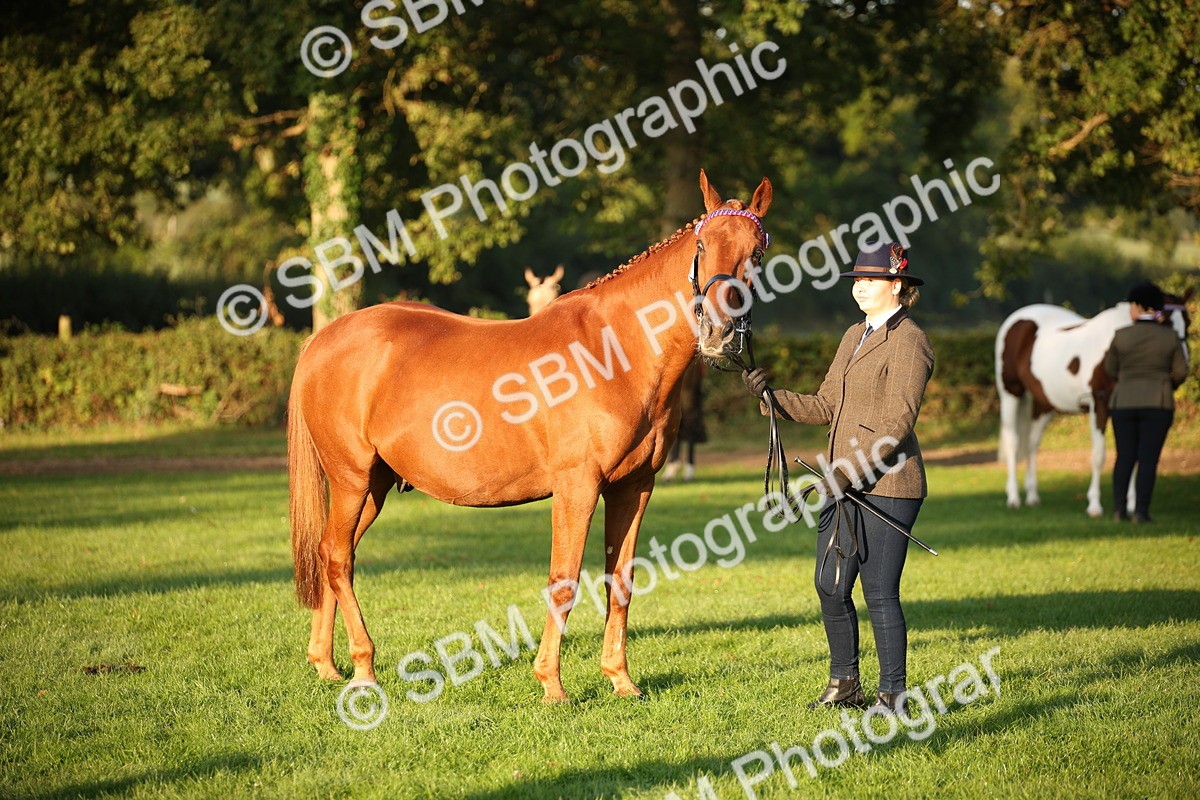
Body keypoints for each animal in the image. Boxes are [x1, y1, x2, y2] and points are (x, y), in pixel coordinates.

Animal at [288, 170, 772, 701]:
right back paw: (364, 668)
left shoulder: (633, 488)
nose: (719, 332)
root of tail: (324, 338)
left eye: (757, 252)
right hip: (350, 478)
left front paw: (620, 679)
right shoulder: (577, 487)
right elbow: (564, 580)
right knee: (337, 558)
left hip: (373, 486)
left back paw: (326, 664)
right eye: (702, 245)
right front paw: (552, 685)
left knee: (333, 553)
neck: (616, 351)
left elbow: (620, 580)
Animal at [995, 293, 1191, 516]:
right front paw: (1095, 505)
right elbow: (1099, 456)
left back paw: (1032, 496)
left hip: (1044, 403)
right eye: (1164, 321)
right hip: (1010, 393)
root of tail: (1016, 319)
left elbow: (1132, 455)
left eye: (1188, 322)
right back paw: (1013, 498)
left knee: (1032, 443)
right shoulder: (1099, 405)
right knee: (1013, 441)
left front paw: (1131, 506)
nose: (1179, 371)